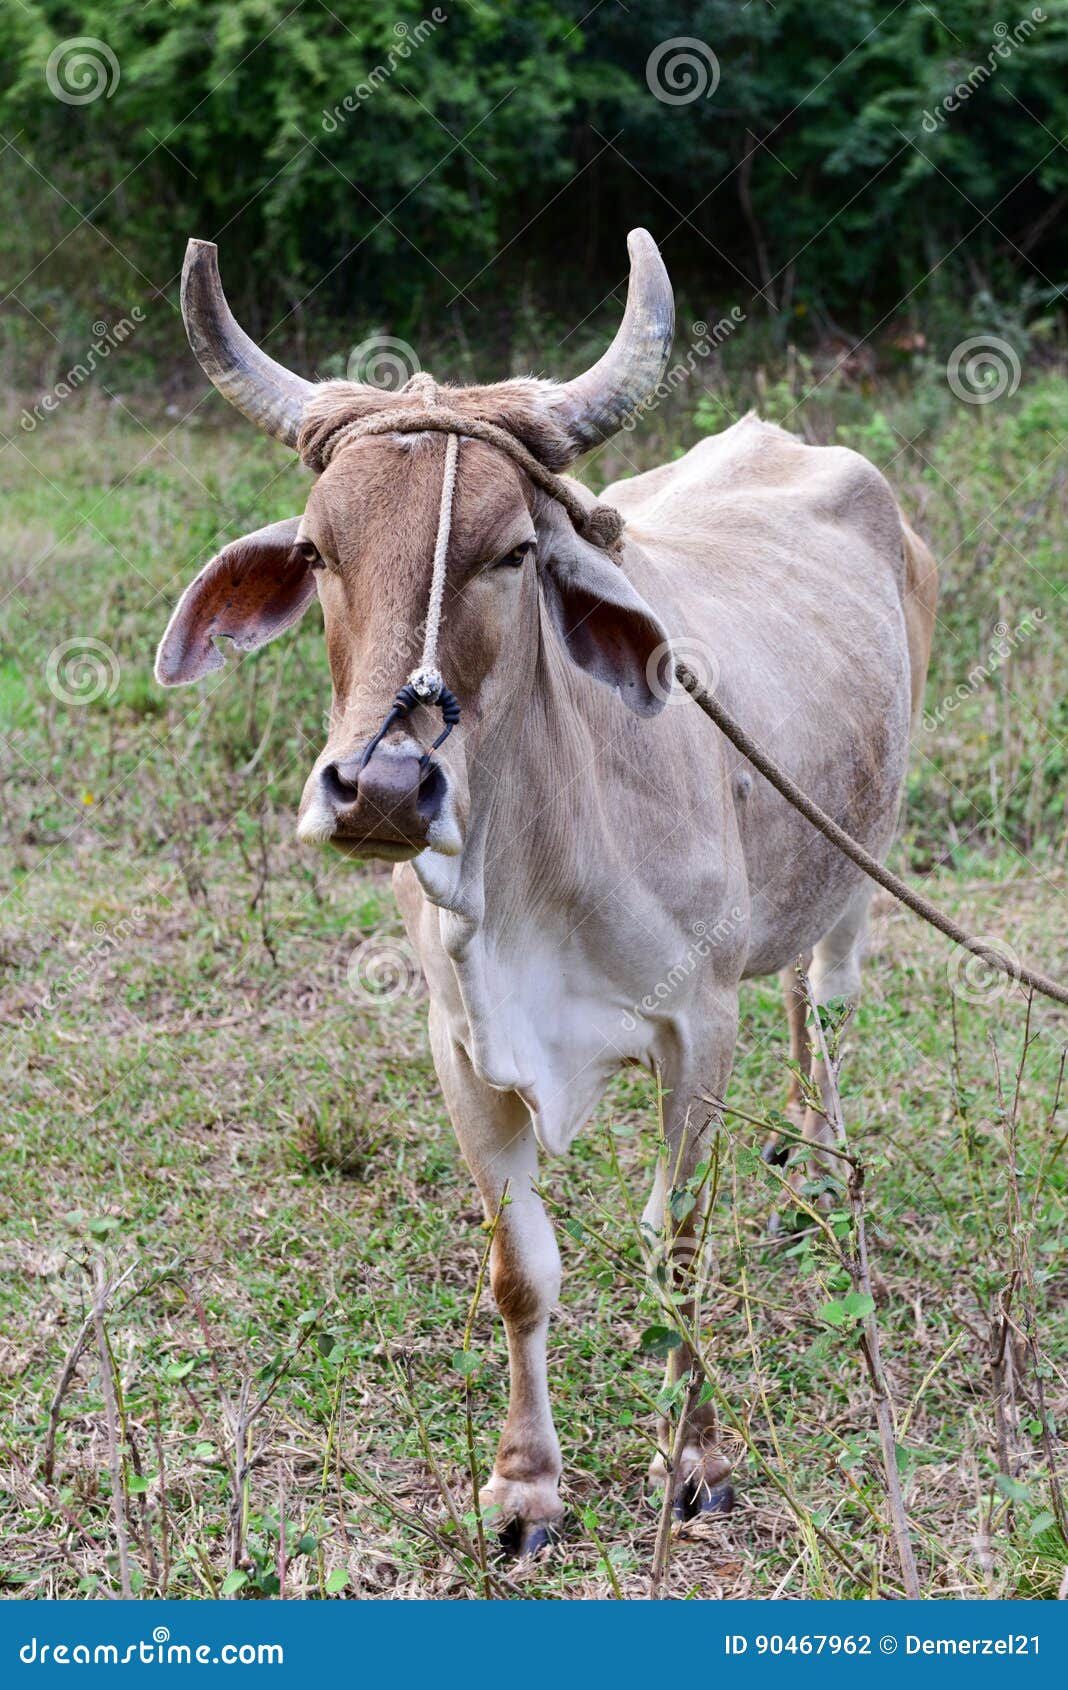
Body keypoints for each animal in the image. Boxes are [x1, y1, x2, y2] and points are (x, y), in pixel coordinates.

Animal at [156, 230, 938, 1553]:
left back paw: (820, 1175)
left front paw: (697, 1458)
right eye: (317, 552)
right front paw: (525, 1483)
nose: (382, 788)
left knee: (821, 1005)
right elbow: (522, 1269)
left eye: (513, 549)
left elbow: (678, 1246)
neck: (528, 882)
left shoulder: (699, 1027)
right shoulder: (460, 1045)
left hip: (857, 868)